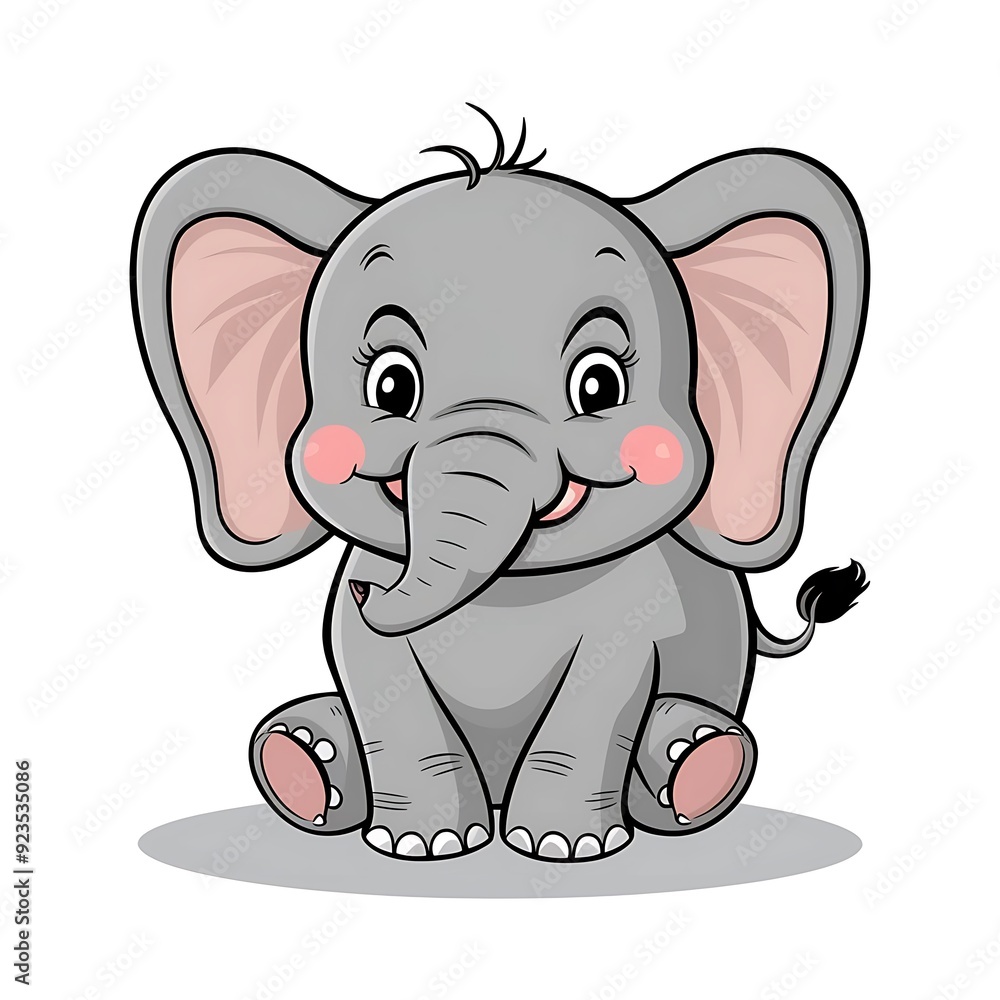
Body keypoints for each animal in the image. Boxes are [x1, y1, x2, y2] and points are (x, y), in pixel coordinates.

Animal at [132, 109, 869, 863]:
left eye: (599, 384)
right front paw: (423, 846)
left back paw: (698, 764)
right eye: (391, 385)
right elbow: (378, 674)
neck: (510, 589)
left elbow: (603, 688)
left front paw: (561, 848)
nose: (370, 591)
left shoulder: (635, 611)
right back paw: (300, 762)